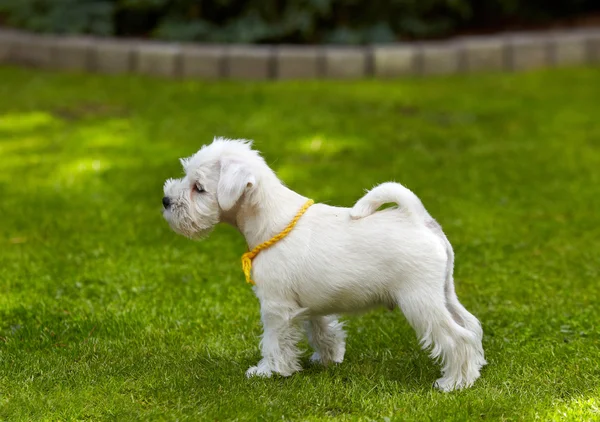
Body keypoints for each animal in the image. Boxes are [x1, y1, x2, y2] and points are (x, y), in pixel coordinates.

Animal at [162, 137, 486, 390]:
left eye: (199, 188)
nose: (166, 201)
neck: (271, 221)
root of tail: (418, 218)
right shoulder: (309, 304)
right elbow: (321, 329)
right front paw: (328, 358)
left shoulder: (275, 306)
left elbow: (273, 341)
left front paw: (268, 371)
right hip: (444, 292)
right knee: (471, 325)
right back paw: (476, 369)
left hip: (421, 300)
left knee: (457, 337)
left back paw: (454, 382)